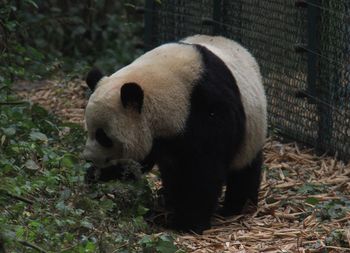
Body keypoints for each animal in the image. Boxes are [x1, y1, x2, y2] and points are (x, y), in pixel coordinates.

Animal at [82, 35, 268, 233]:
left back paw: (238, 207)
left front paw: (188, 223)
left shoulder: (209, 110)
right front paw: (96, 175)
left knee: (245, 170)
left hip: (252, 131)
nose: (89, 158)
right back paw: (169, 198)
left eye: (103, 137)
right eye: (90, 130)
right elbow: (141, 162)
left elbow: (204, 170)